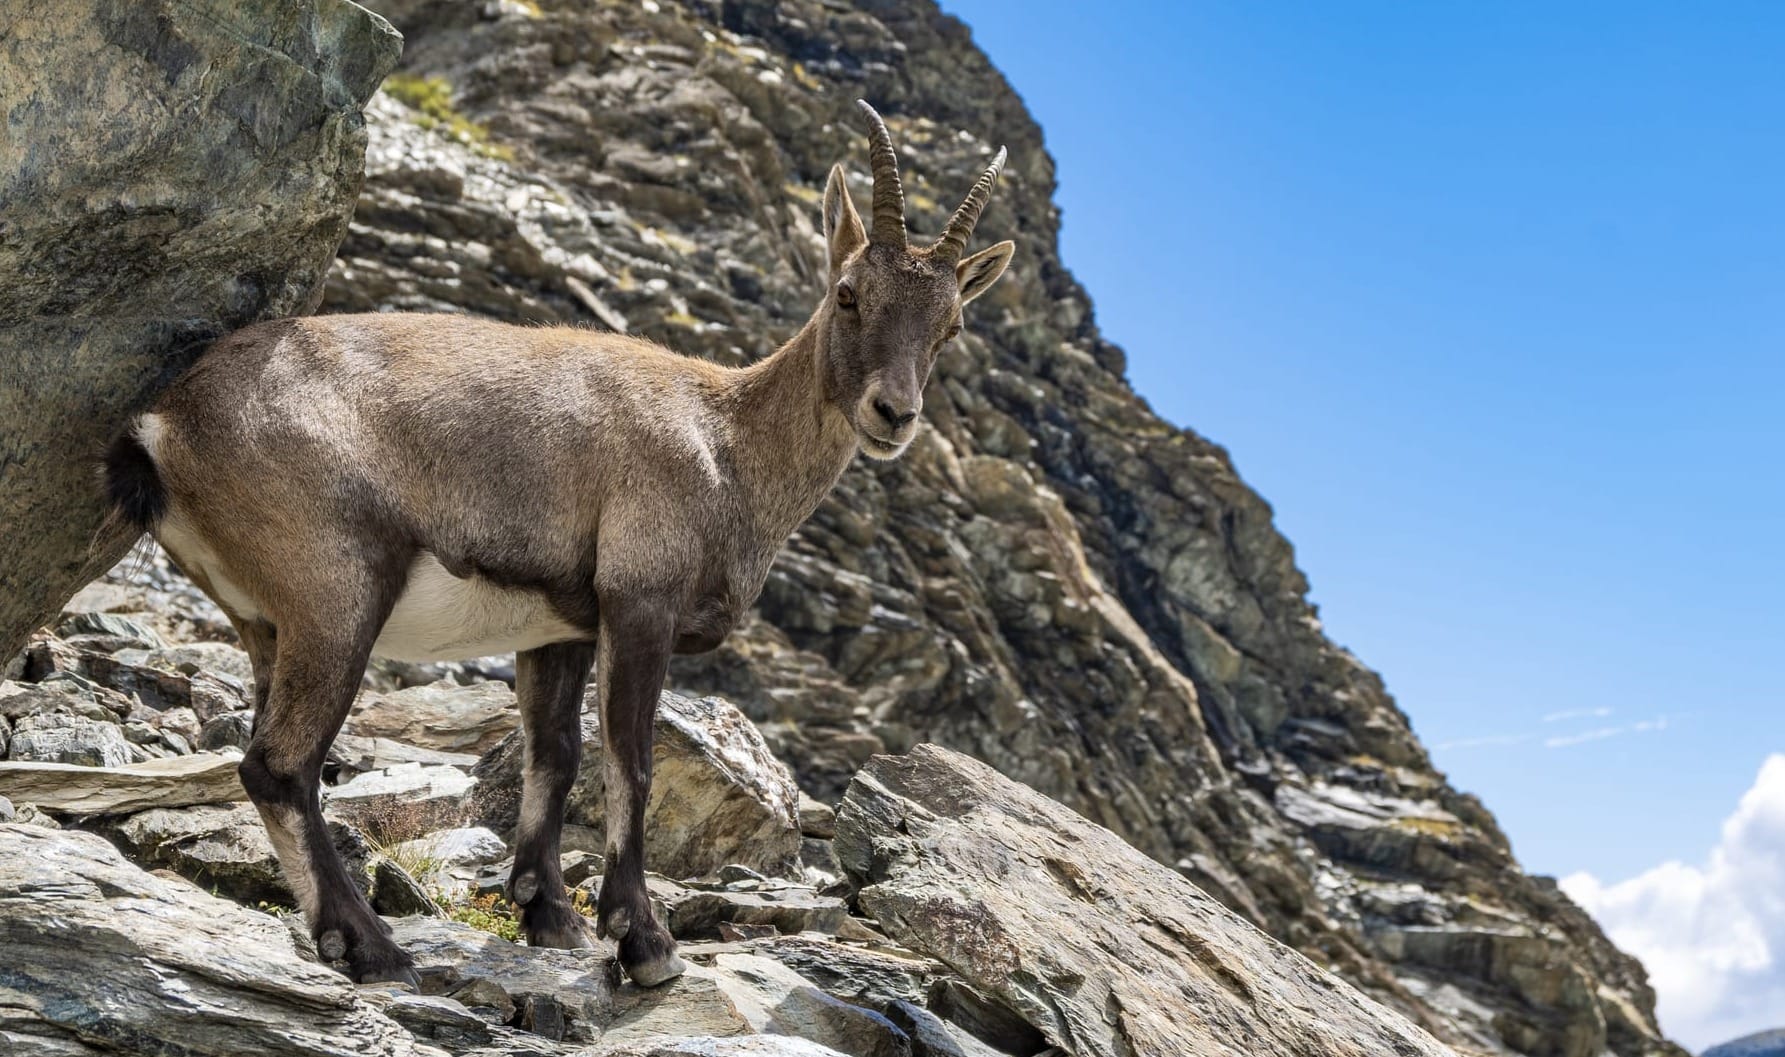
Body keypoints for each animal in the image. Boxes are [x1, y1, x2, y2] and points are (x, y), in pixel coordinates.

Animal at [99, 101, 1015, 987]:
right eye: (850, 291)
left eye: (951, 324)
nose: (893, 413)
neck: (723, 439)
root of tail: (163, 421)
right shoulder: (639, 602)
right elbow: (631, 761)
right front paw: (643, 939)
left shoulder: (558, 626)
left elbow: (556, 755)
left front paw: (549, 914)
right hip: (339, 593)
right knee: (279, 763)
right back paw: (372, 944)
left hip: (267, 623)